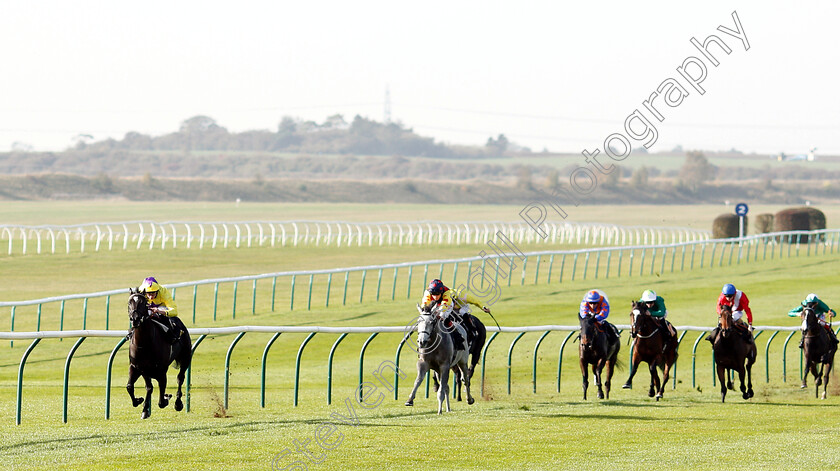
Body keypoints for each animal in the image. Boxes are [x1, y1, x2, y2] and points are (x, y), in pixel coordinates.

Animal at [125, 290, 191, 418]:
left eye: (143, 303)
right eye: (129, 302)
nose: (135, 319)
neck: (144, 344)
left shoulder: (161, 369)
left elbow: (160, 390)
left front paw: (164, 399)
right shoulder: (138, 367)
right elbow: (133, 387)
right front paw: (141, 403)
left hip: (185, 357)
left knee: (180, 378)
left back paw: (178, 403)